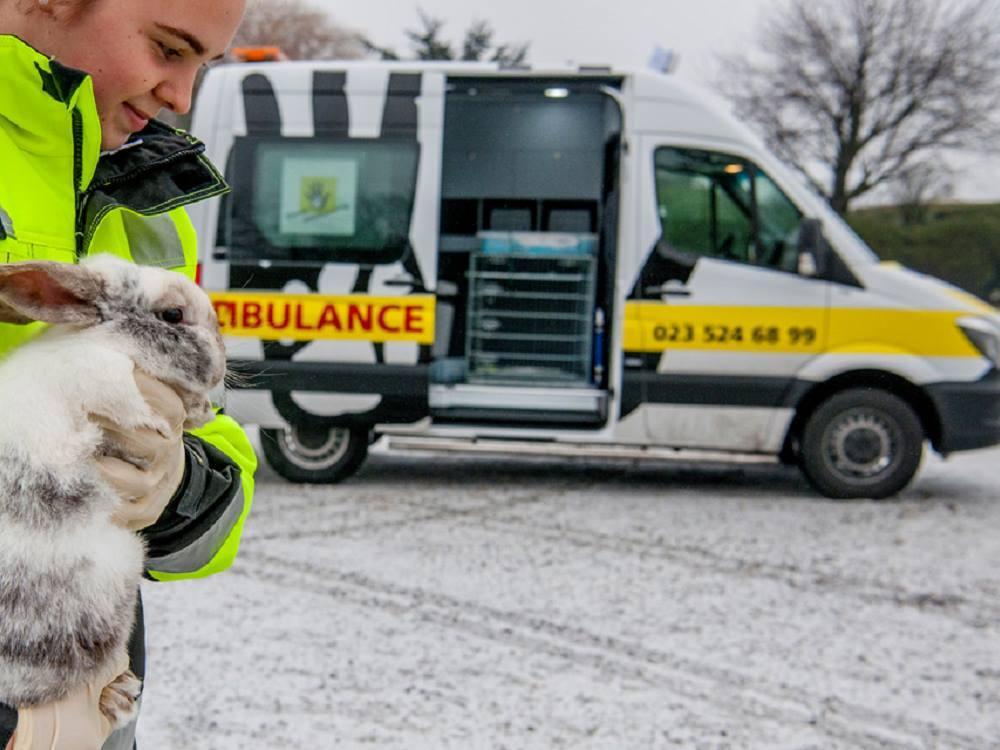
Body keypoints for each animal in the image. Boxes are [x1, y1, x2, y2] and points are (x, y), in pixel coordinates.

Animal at [0, 256, 227, 732]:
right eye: (173, 314)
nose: (220, 364)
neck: (110, 341)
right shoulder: (116, 390)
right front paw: (196, 411)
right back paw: (118, 699)